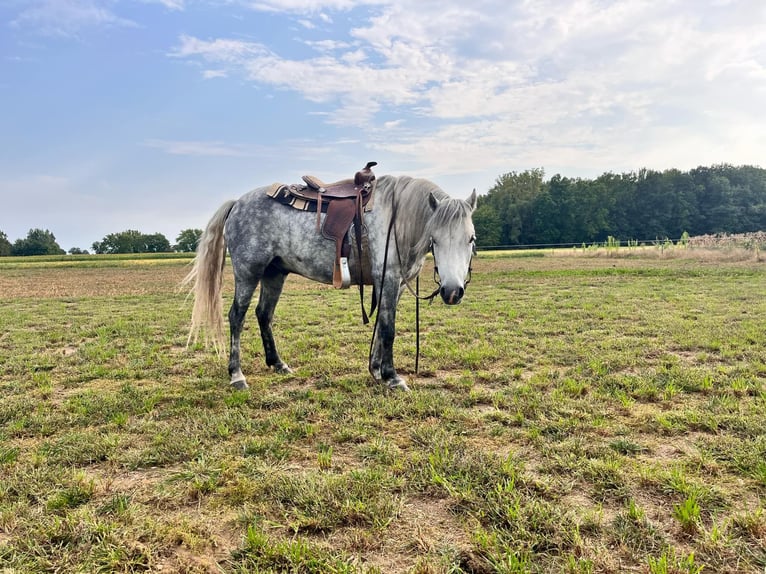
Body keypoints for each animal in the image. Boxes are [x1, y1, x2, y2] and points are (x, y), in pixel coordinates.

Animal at [183, 173, 477, 391]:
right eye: (435, 239)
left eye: (471, 239)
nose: (452, 292)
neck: (396, 219)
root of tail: (237, 203)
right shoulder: (389, 280)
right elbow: (389, 329)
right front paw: (393, 377)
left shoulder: (395, 286)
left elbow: (381, 326)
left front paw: (376, 370)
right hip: (248, 272)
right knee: (237, 316)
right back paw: (237, 375)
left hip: (274, 274)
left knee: (264, 314)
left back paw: (278, 364)